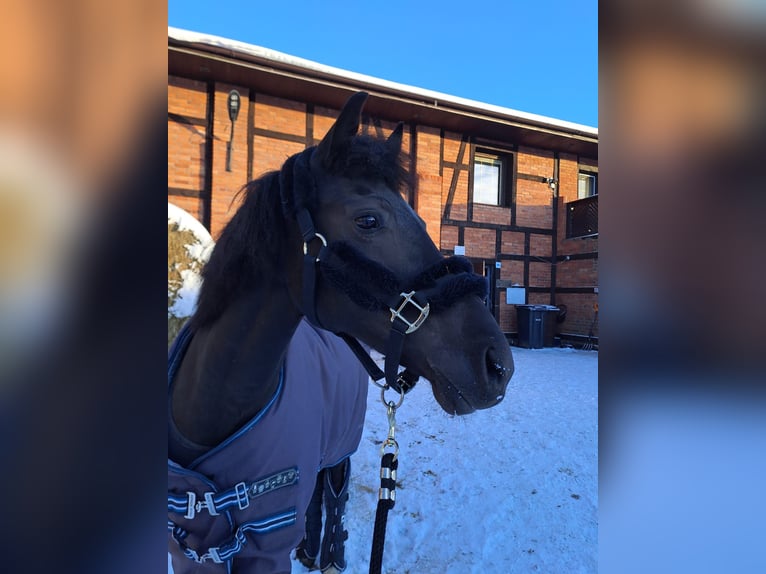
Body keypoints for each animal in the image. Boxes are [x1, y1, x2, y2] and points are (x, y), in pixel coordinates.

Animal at [168, 91, 514, 573]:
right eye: (368, 220)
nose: (498, 365)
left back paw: (330, 551)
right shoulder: (191, 551)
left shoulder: (266, 546)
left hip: (340, 445)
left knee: (334, 492)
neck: (211, 408)